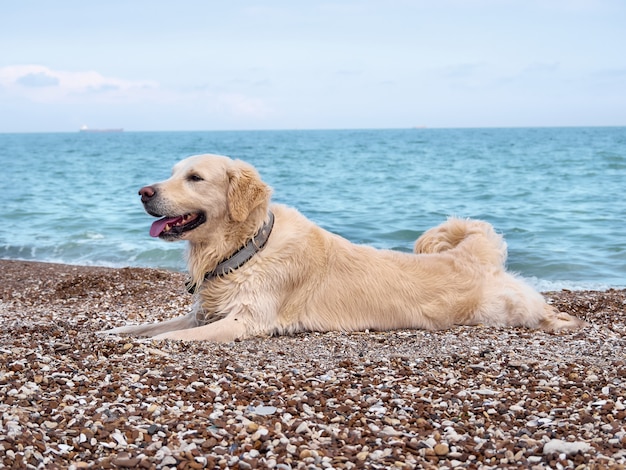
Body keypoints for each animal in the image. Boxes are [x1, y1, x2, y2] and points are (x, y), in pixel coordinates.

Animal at [102, 154, 584, 342]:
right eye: (172, 174)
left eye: (195, 178)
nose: (143, 192)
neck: (243, 251)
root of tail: (467, 253)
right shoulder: (202, 311)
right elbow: (149, 325)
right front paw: (113, 332)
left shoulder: (245, 320)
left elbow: (174, 337)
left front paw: (150, 346)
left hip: (502, 308)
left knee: (543, 309)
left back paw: (563, 322)